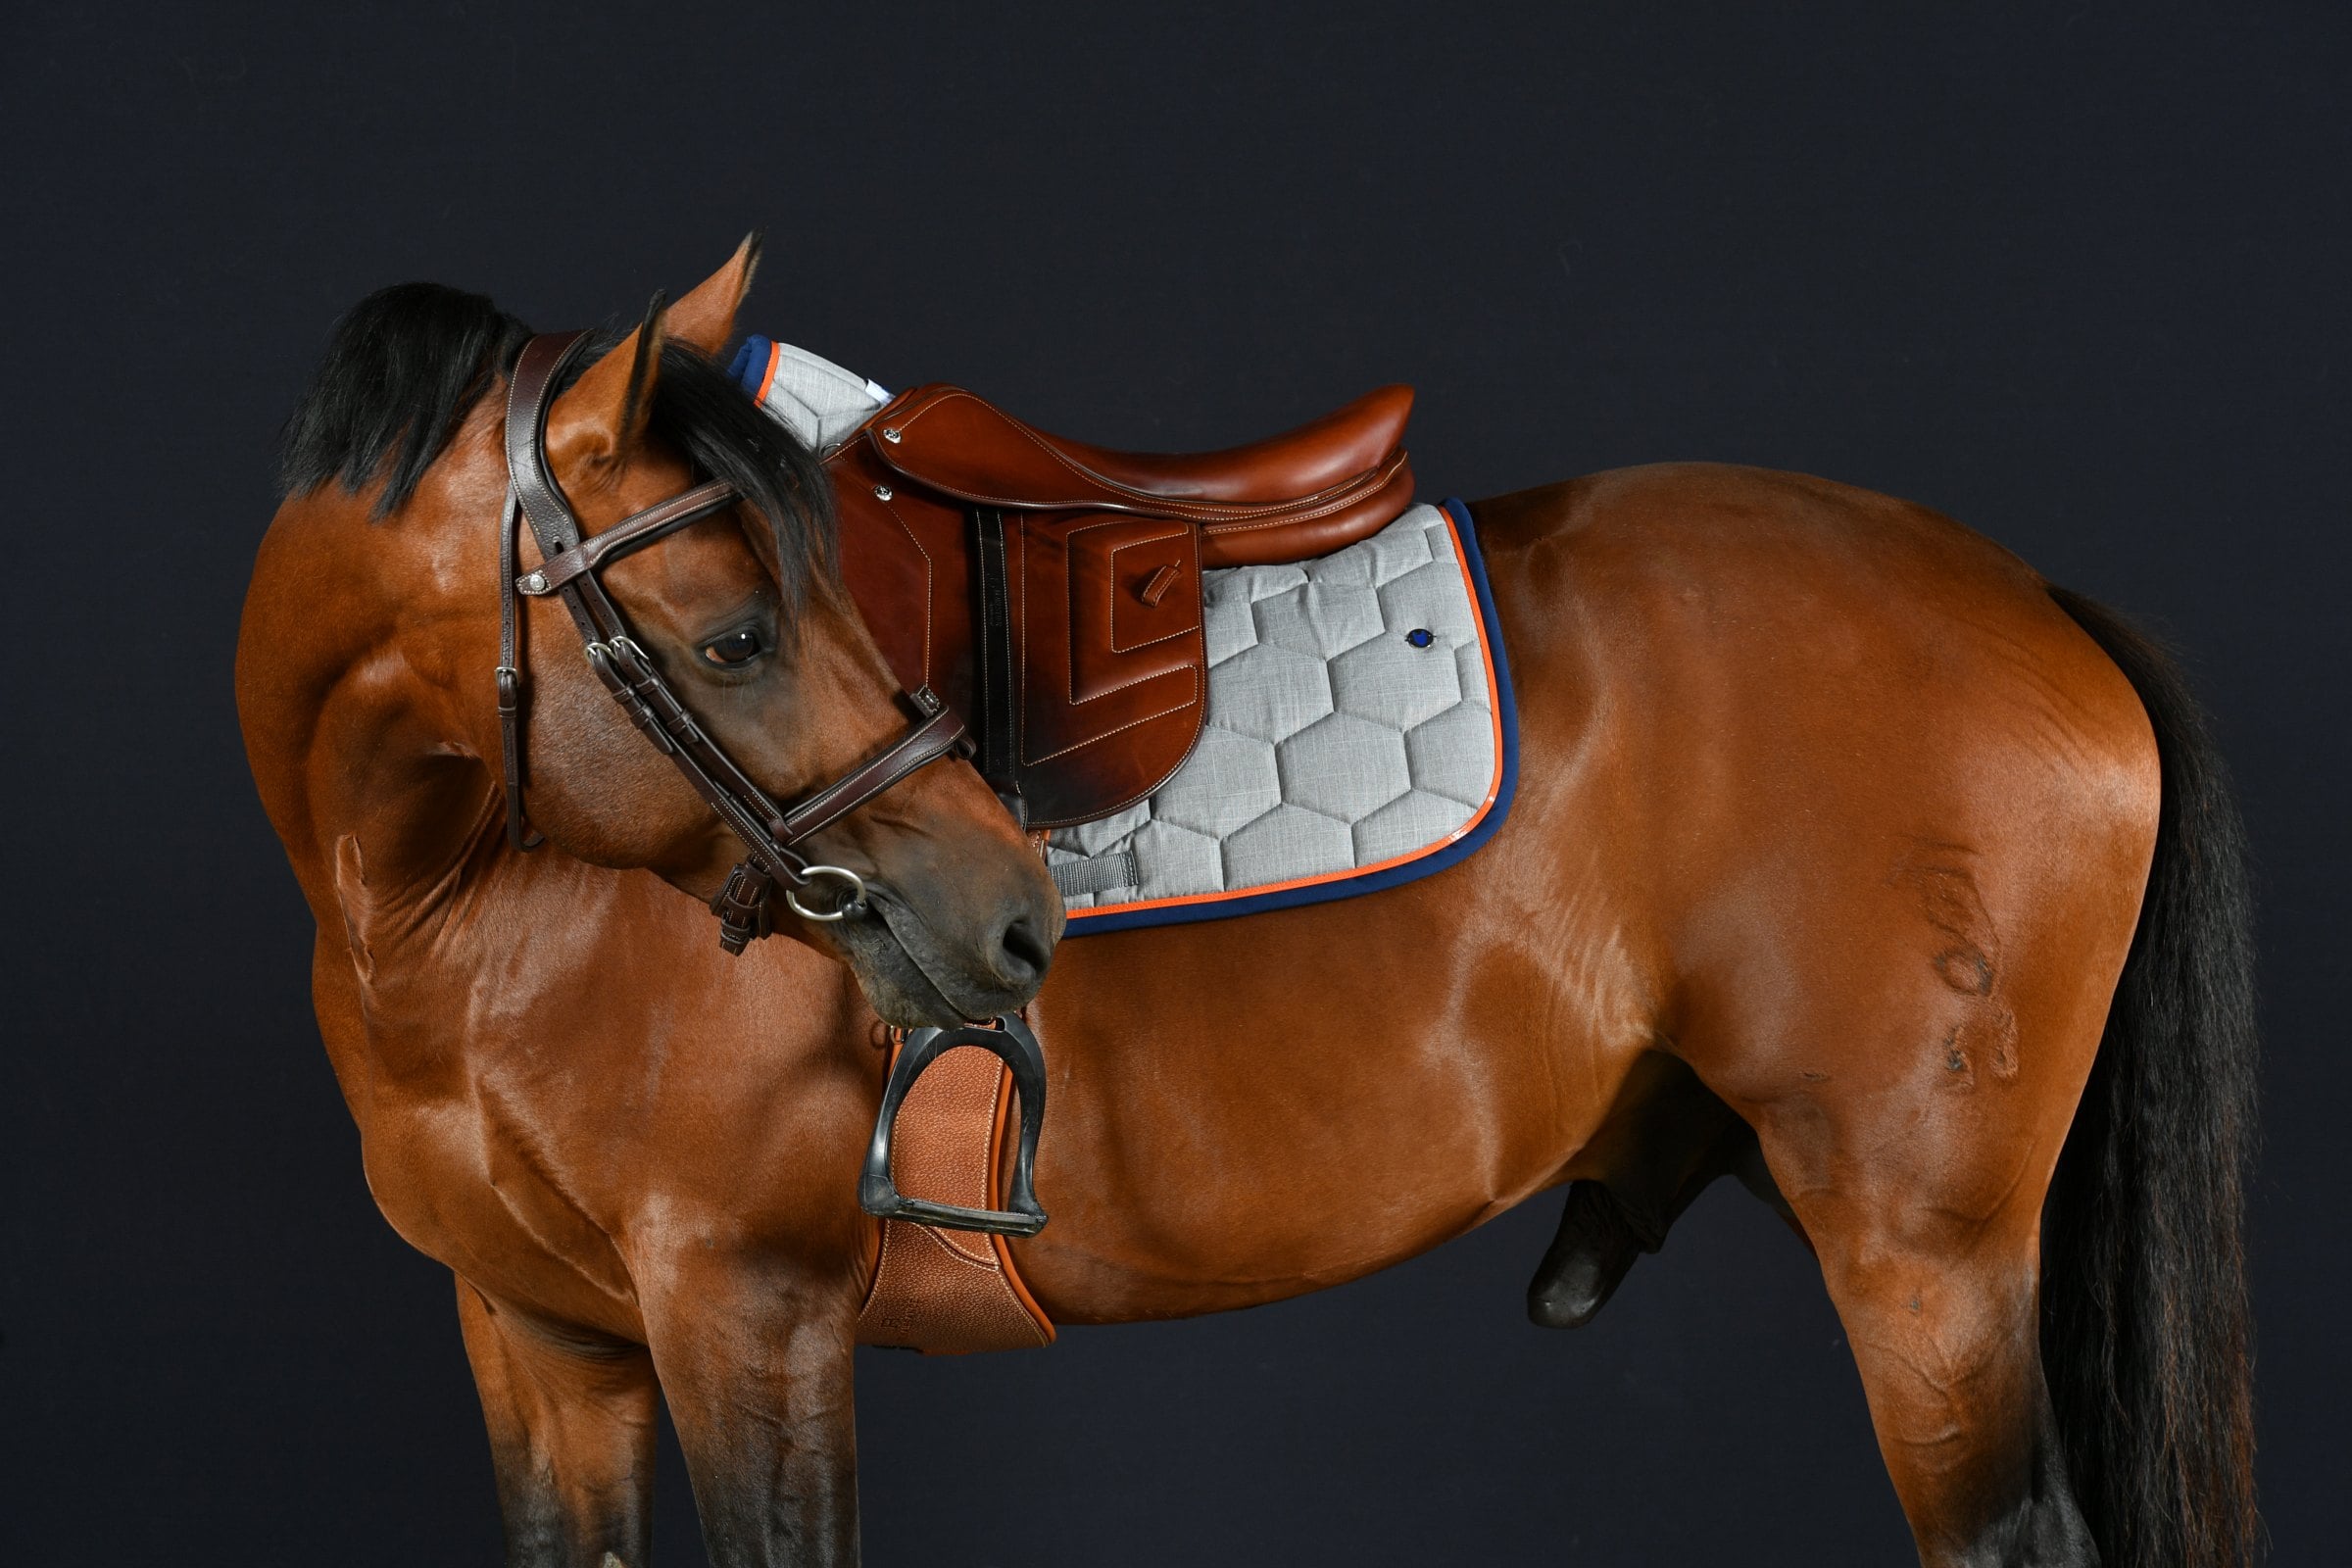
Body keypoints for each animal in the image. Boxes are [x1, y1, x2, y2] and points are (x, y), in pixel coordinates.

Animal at [236, 241, 2258, 1568]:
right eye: (737, 632)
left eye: (808, 608)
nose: (1013, 920)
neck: (453, 903)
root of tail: (2038, 599)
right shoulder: (540, 1341)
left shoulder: (749, 1312)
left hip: (1928, 1258)